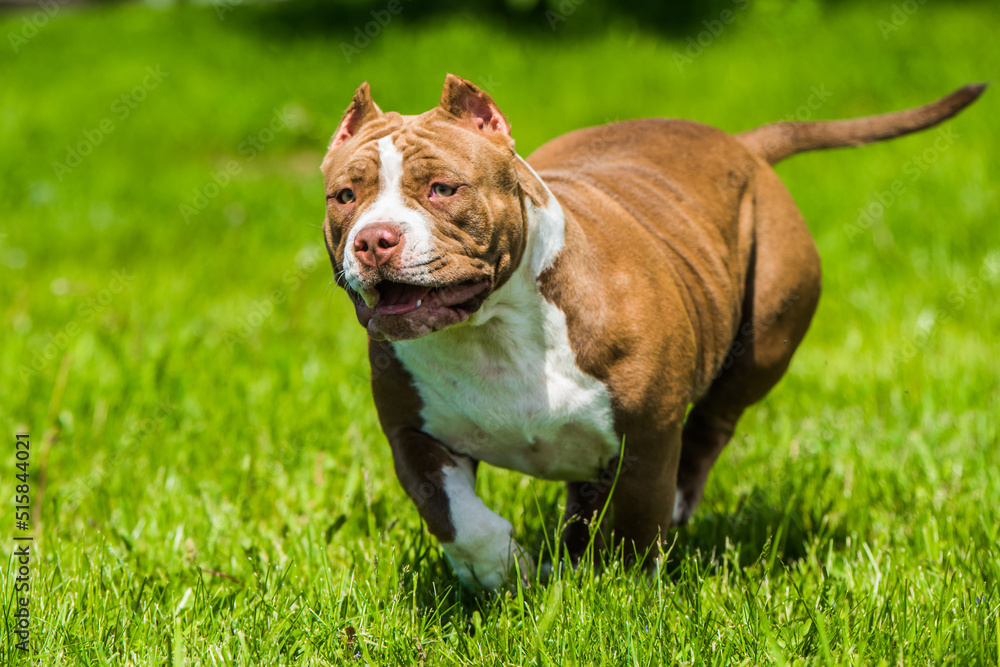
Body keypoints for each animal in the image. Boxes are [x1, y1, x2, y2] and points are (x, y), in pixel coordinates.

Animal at [322, 74, 984, 588]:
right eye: (344, 196)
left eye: (443, 188)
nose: (374, 240)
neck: (494, 329)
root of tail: (742, 145)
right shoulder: (411, 434)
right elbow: (456, 516)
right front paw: (501, 571)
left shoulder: (648, 434)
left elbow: (637, 522)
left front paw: (623, 591)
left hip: (762, 342)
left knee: (711, 428)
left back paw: (674, 507)